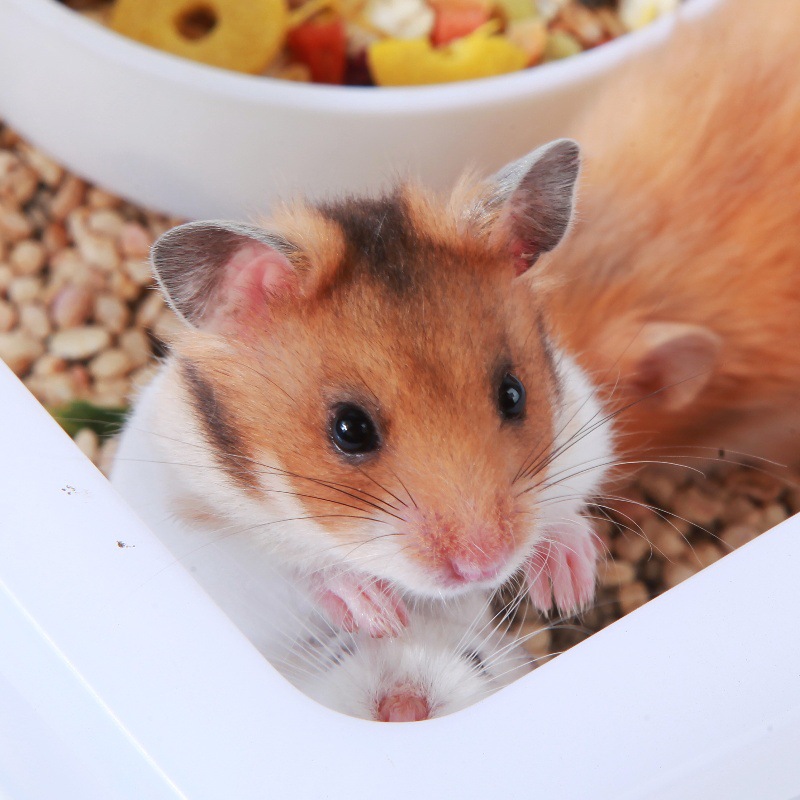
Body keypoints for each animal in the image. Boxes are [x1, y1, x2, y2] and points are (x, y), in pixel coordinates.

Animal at [111, 138, 613, 641]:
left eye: (513, 395)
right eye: (350, 429)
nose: (484, 566)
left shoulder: (582, 437)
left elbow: (563, 510)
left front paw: (571, 587)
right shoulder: (206, 537)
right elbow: (302, 570)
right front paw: (382, 618)